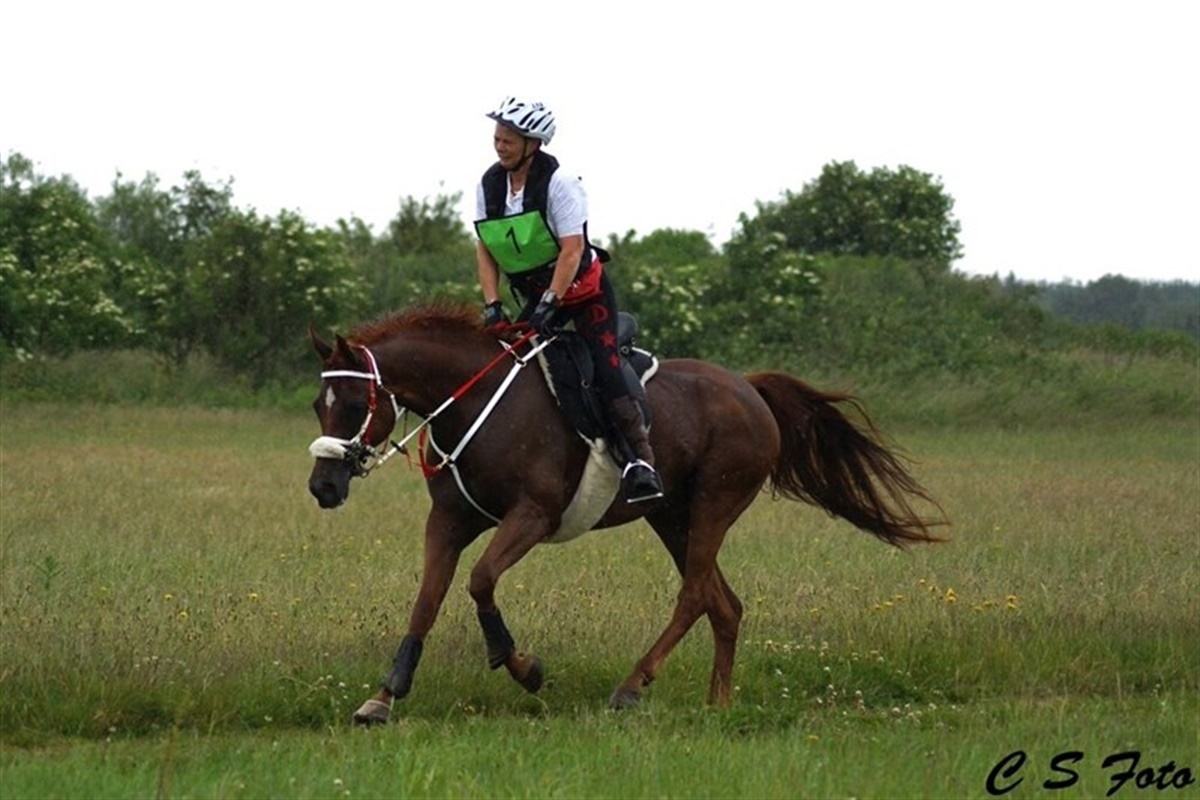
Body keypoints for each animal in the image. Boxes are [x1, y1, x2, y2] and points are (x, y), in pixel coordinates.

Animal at [306, 302, 945, 725]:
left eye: (358, 403)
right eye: (318, 403)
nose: (323, 486)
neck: (473, 403)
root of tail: (750, 388)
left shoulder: (532, 517)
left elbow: (481, 580)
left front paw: (523, 667)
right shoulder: (449, 521)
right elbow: (428, 600)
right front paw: (384, 696)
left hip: (714, 502)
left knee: (694, 595)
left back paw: (632, 687)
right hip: (670, 516)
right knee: (724, 604)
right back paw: (717, 705)